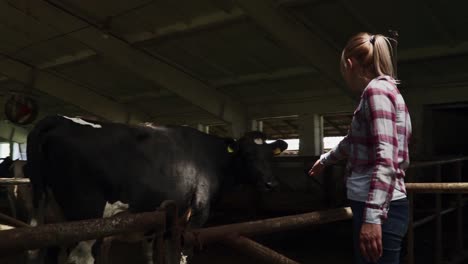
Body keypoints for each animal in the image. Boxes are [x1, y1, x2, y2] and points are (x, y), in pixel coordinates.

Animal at [24, 115, 288, 264]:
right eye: (247, 154)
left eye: (269, 155)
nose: (271, 184)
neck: (212, 156)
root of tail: (59, 119)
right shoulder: (196, 214)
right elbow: (181, 254)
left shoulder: (158, 220)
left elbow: (154, 254)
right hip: (86, 219)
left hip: (49, 216)